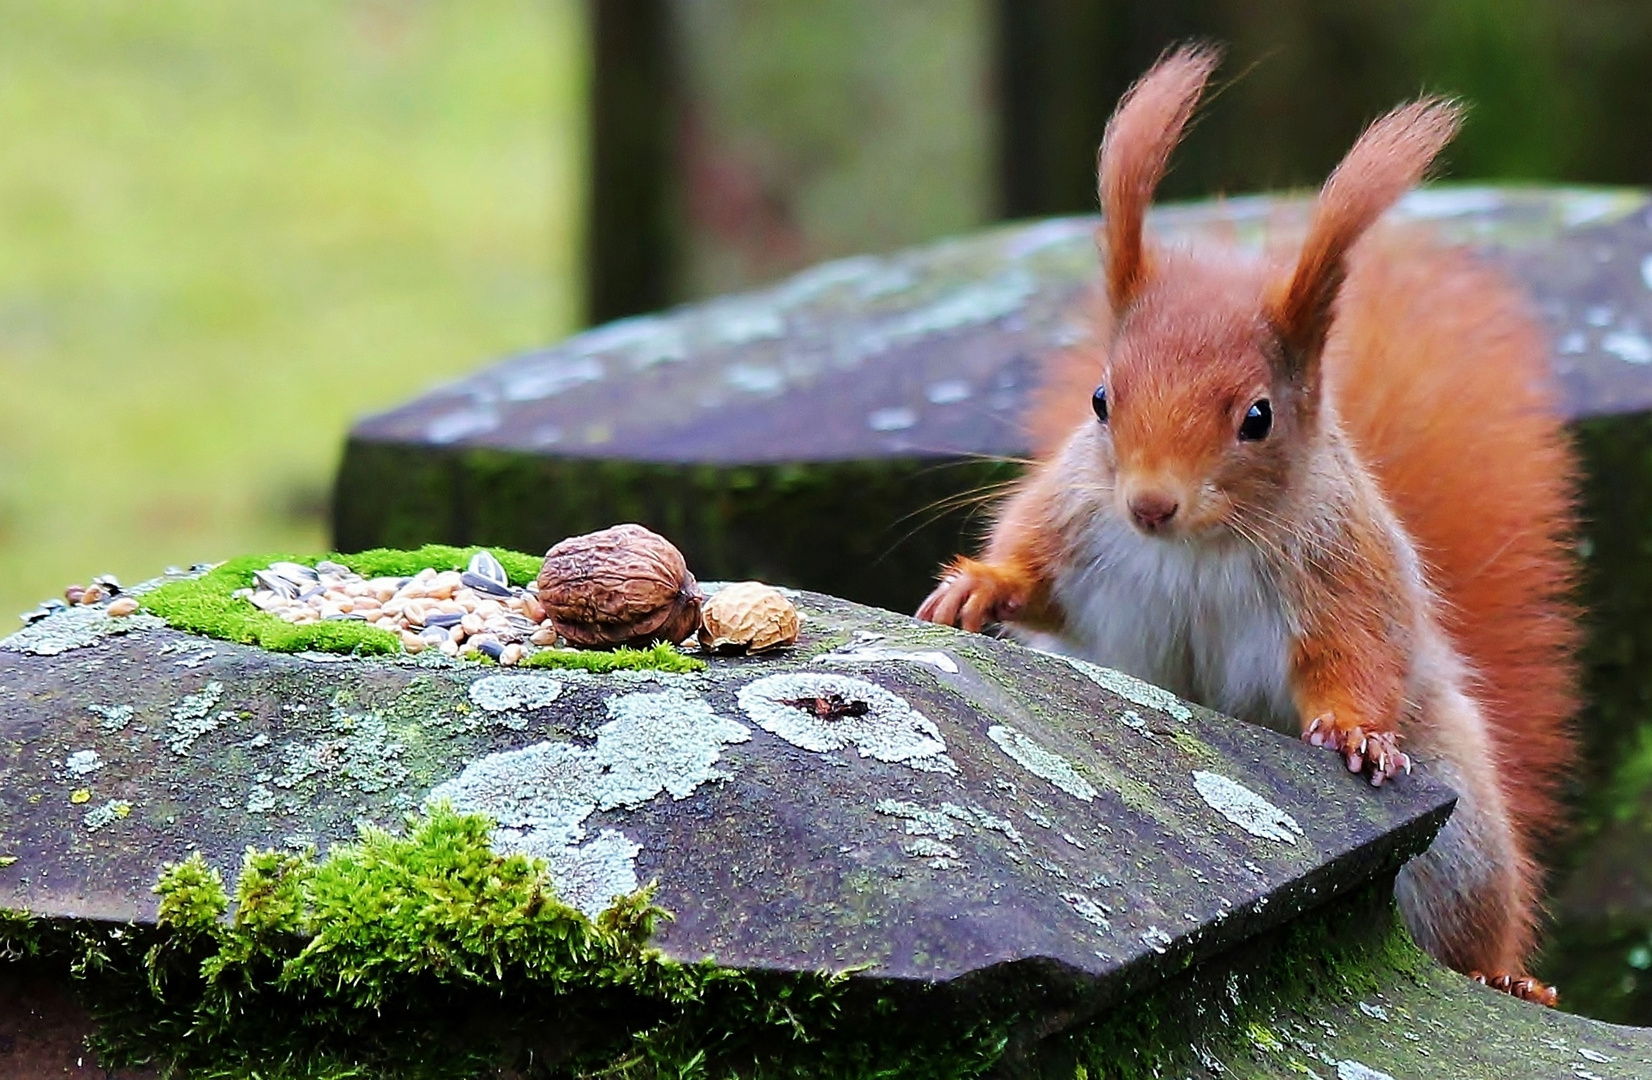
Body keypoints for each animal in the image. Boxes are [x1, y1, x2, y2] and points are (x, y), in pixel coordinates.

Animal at [925, 44, 1579, 1004]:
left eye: (1258, 418)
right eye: (1101, 399)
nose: (1149, 503)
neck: (1195, 547)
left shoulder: (1343, 567)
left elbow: (1355, 655)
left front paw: (1353, 731)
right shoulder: (1075, 516)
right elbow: (1032, 567)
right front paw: (979, 587)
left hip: (1462, 845)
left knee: (1467, 931)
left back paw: (1509, 980)